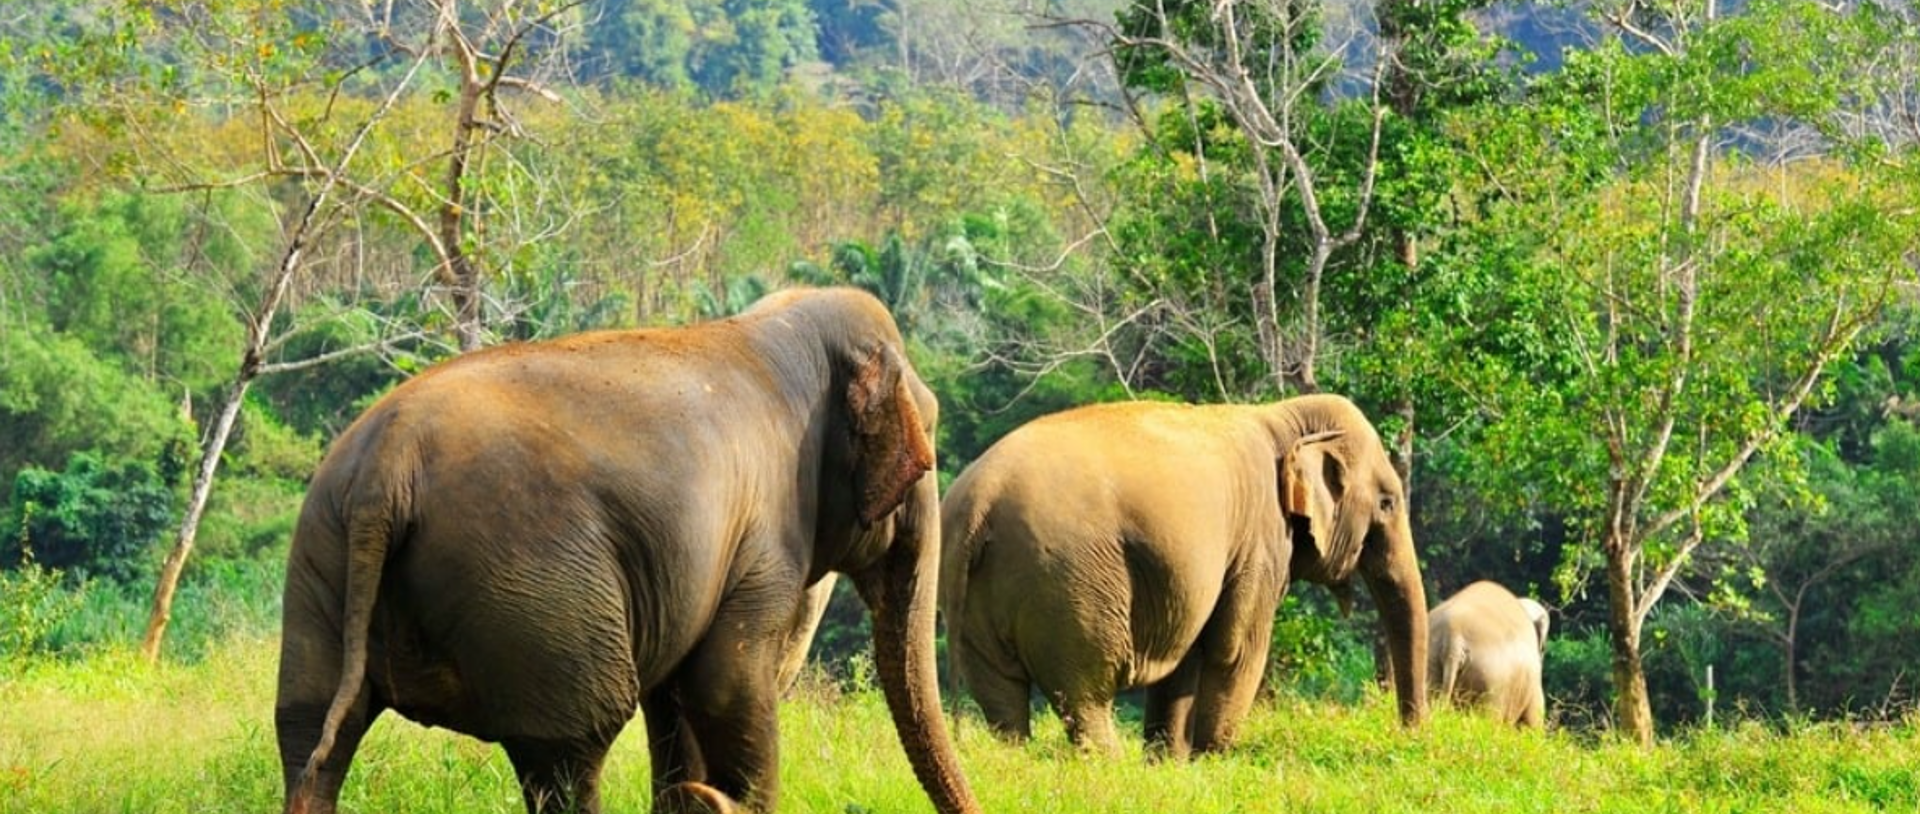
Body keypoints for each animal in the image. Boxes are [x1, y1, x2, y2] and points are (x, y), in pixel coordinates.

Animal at [275, 288, 980, 814]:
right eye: (925, 455)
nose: (707, 796)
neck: (778, 326)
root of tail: (387, 467)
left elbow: (677, 695)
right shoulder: (766, 536)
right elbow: (726, 681)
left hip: (323, 556)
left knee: (310, 727)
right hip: (534, 588)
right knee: (573, 742)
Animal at [939, 394, 1429, 758]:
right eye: (1388, 503)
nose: (1409, 732)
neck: (1281, 415)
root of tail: (981, 500)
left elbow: (1183, 659)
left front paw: (1168, 762)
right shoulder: (1260, 541)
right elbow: (1236, 649)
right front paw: (1214, 758)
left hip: (975, 592)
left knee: (1001, 693)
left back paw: (1016, 759)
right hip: (1069, 584)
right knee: (1085, 690)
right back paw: (1109, 764)